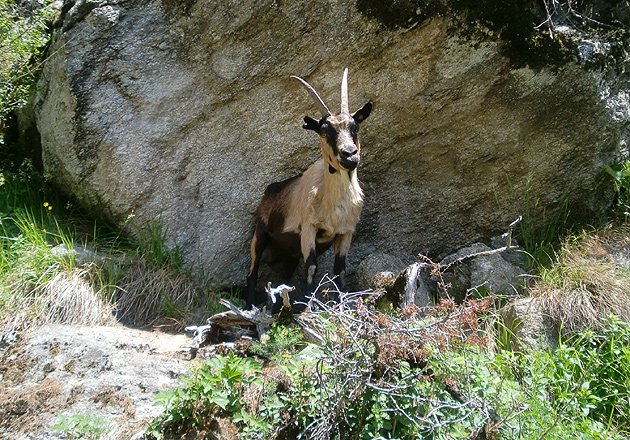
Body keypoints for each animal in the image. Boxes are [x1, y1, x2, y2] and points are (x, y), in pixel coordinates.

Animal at [246, 69, 372, 310]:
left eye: (355, 126)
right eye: (324, 131)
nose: (349, 154)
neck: (334, 204)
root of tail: (271, 190)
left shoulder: (345, 231)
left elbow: (339, 270)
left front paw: (340, 306)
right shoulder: (308, 229)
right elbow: (312, 266)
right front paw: (308, 306)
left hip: (289, 255)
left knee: (283, 280)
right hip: (260, 235)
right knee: (252, 272)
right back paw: (248, 308)